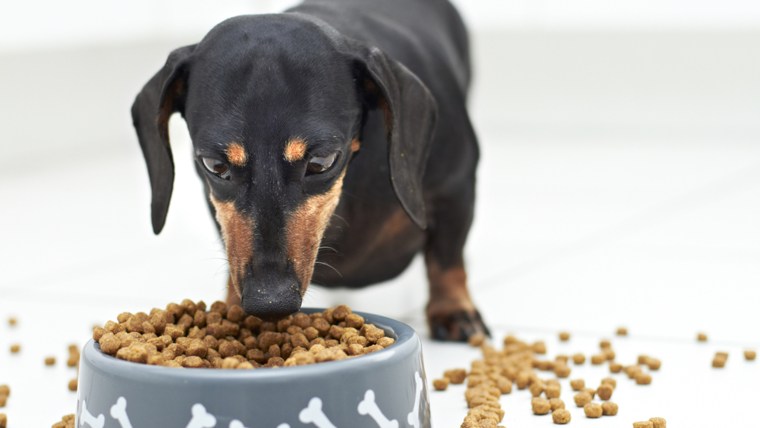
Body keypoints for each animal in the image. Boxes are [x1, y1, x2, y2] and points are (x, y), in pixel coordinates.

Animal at [131, 0, 486, 342]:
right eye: (215, 165)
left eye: (322, 161)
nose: (269, 302)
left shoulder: (455, 189)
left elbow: (447, 257)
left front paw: (453, 310)